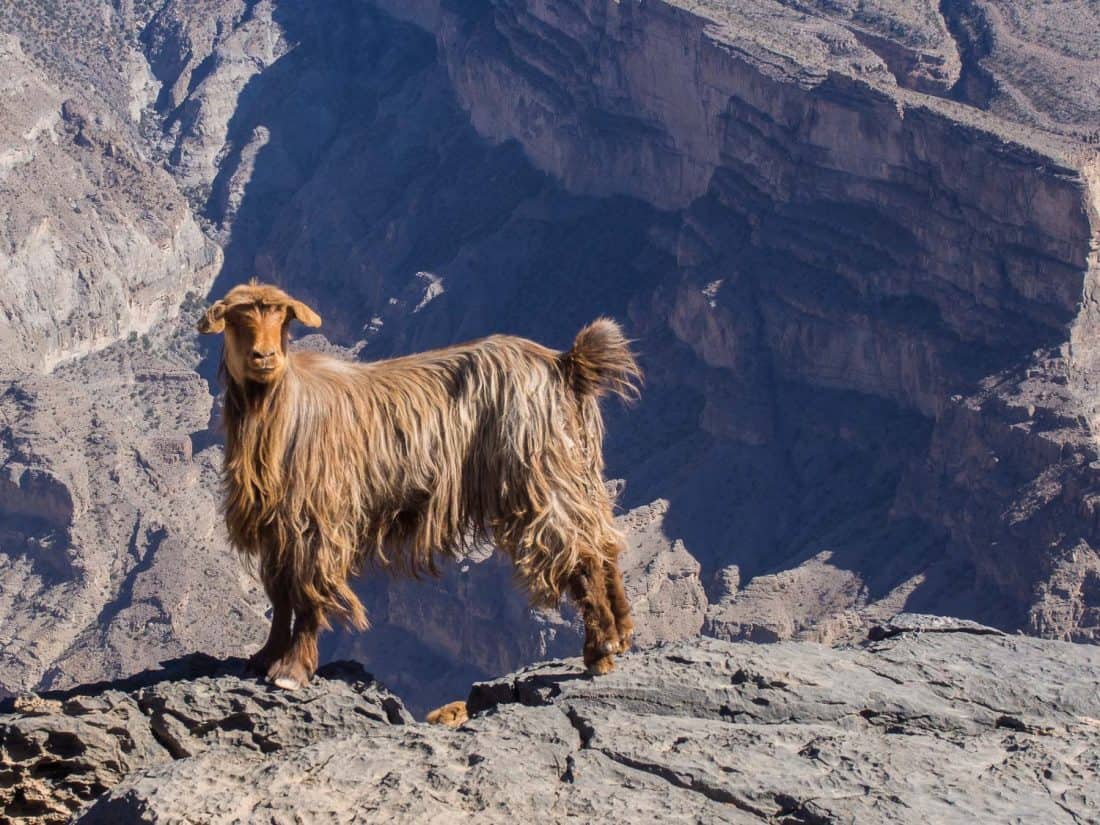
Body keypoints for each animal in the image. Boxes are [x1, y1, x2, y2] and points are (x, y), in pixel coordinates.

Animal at [202, 283, 642, 690]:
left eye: (283, 318)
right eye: (237, 319)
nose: (264, 358)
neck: (282, 410)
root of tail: (562, 365)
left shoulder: (316, 519)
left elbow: (308, 593)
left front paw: (292, 670)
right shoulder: (275, 525)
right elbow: (279, 594)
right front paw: (264, 658)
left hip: (539, 477)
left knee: (578, 550)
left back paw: (599, 650)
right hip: (577, 471)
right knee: (603, 541)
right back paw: (621, 634)